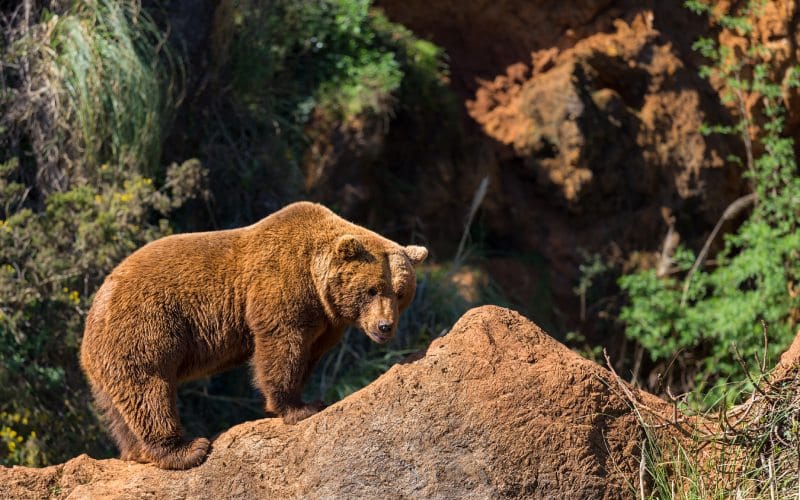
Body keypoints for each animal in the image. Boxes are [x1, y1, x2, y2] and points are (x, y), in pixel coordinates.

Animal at [79, 201, 428, 470]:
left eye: (400, 293)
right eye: (372, 290)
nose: (384, 326)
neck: (317, 286)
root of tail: (96, 305)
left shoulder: (326, 322)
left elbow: (308, 355)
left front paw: (306, 398)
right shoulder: (280, 285)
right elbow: (281, 346)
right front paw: (297, 408)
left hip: (107, 359)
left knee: (119, 405)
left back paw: (135, 451)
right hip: (145, 326)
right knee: (149, 388)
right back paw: (187, 449)